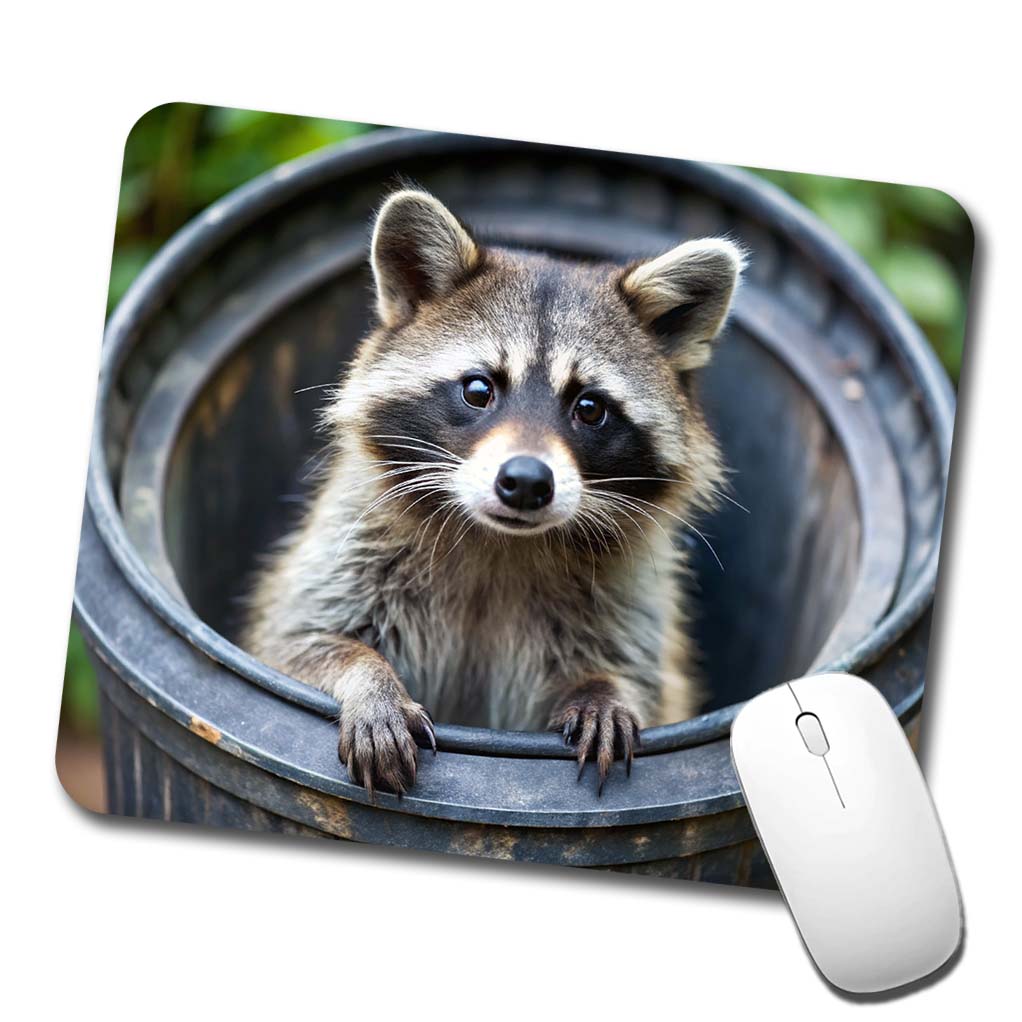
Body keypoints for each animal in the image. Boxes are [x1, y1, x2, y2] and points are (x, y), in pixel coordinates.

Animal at [243, 188, 744, 797]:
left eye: (590, 407)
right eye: (479, 389)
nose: (526, 482)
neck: (498, 542)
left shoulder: (627, 603)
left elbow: (644, 682)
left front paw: (605, 689)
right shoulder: (348, 552)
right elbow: (292, 644)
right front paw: (367, 676)